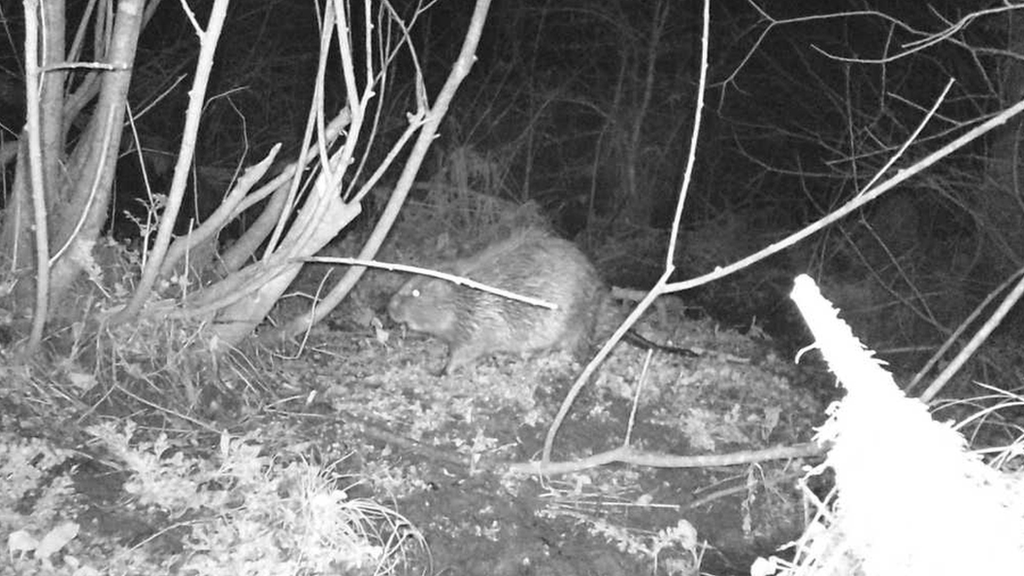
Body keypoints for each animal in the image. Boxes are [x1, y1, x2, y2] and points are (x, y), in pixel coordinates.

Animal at [387, 226, 602, 375]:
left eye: (416, 293)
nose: (390, 308)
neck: (467, 297)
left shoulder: (481, 324)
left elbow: (465, 351)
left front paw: (442, 370)